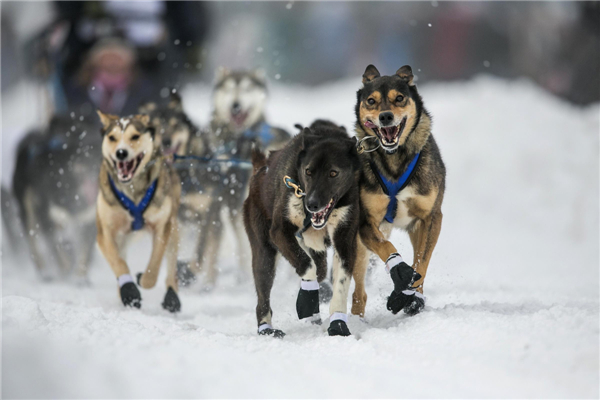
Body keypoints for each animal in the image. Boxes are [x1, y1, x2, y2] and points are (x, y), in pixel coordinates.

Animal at [94, 111, 180, 312]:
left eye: (134, 136)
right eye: (112, 137)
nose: (121, 153)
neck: (132, 190)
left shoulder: (162, 226)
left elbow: (154, 265)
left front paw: (143, 279)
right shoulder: (105, 232)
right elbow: (118, 262)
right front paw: (129, 290)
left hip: (174, 227)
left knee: (171, 263)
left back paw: (172, 296)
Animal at [352, 64, 446, 318]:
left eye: (400, 98)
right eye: (371, 101)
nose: (385, 116)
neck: (394, 159)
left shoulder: (430, 218)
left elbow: (422, 261)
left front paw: (408, 296)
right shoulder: (366, 223)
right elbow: (387, 248)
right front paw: (399, 272)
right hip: (358, 247)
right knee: (358, 292)